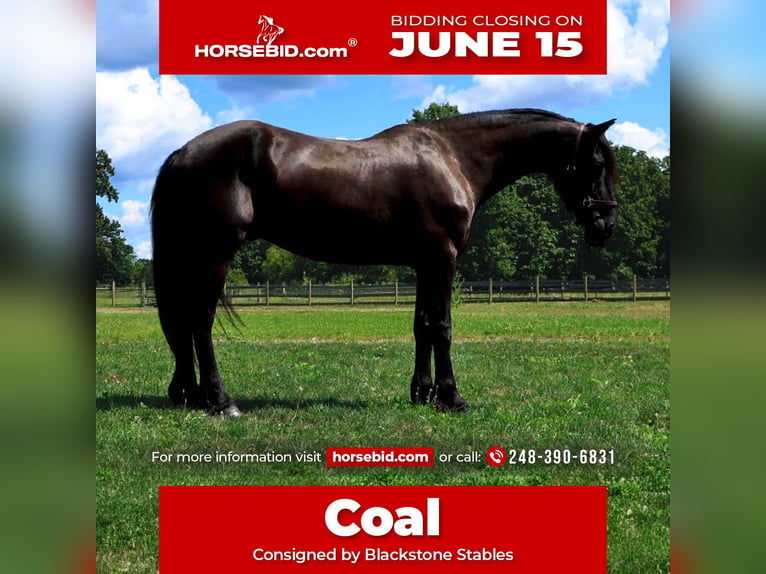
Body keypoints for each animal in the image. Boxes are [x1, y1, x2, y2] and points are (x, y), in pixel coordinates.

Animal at [151, 109, 618, 417]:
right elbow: (442, 326)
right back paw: (220, 401)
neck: (454, 157)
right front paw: (452, 397)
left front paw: (422, 393)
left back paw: (189, 394)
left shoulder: (425, 263)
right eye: (596, 162)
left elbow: (422, 326)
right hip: (215, 253)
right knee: (200, 322)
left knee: (183, 323)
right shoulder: (443, 258)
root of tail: (183, 152)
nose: (606, 225)